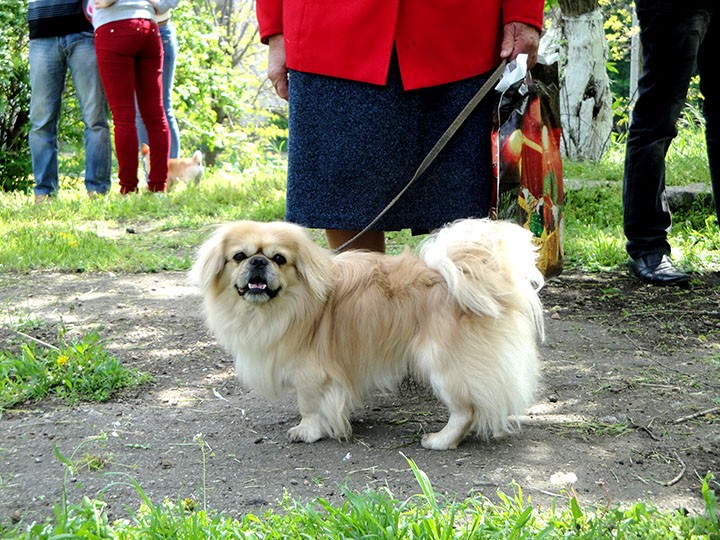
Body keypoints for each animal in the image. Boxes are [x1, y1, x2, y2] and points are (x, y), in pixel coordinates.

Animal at [191, 217, 544, 450]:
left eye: (279, 259)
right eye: (239, 257)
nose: (259, 262)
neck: (284, 306)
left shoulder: (311, 374)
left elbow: (309, 406)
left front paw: (307, 431)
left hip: (443, 365)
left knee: (466, 410)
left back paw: (440, 441)